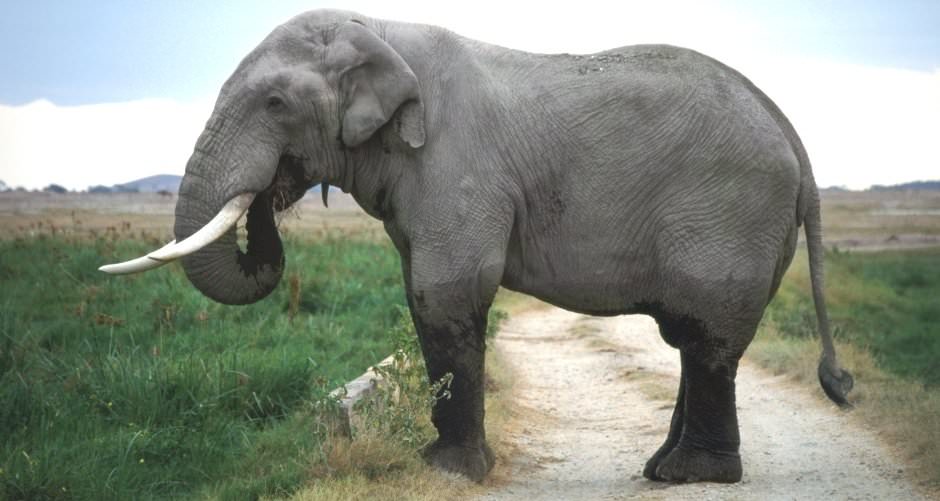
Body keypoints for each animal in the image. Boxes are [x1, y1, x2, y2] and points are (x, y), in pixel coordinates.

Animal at [101, 9, 852, 482]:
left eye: (277, 105)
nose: (271, 193)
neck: (376, 30)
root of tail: (796, 143)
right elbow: (421, 296)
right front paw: (441, 463)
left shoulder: (455, 162)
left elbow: (446, 291)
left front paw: (449, 472)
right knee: (694, 340)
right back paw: (663, 470)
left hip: (730, 212)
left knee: (707, 338)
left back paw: (693, 476)